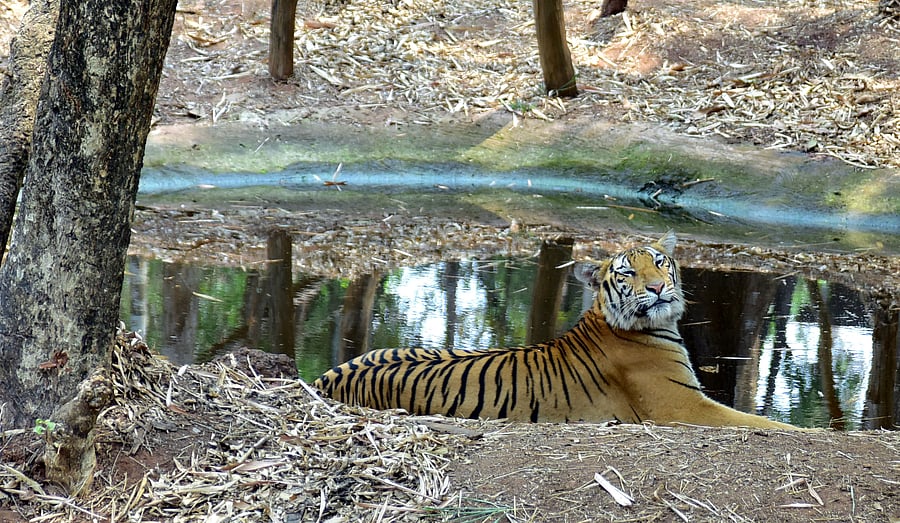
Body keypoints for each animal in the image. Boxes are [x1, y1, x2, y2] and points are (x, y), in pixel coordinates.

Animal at [313, 231, 797, 429]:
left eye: (660, 262)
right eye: (628, 272)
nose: (659, 288)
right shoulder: (684, 406)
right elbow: (767, 423)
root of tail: (324, 377)